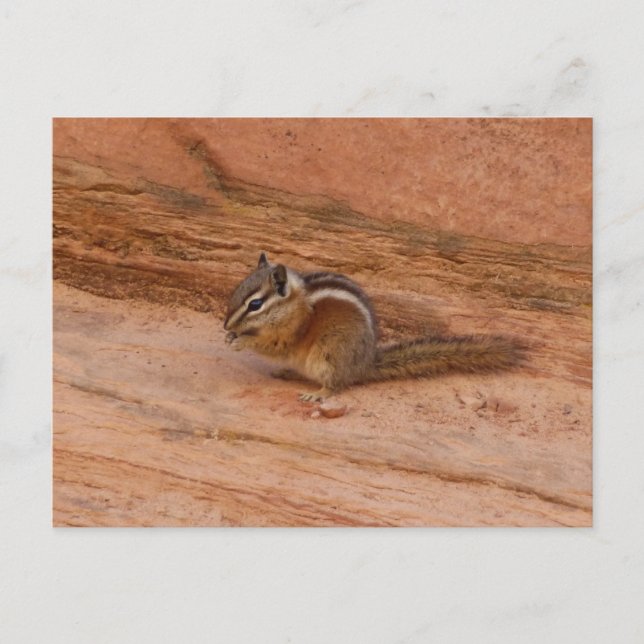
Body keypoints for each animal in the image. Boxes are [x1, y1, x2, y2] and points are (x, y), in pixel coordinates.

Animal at [224, 252, 523, 402]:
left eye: (255, 304)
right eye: (237, 291)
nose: (225, 324)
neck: (293, 304)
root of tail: (364, 365)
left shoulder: (292, 332)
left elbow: (274, 345)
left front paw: (241, 340)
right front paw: (230, 336)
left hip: (329, 354)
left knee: (336, 384)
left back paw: (318, 394)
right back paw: (286, 372)